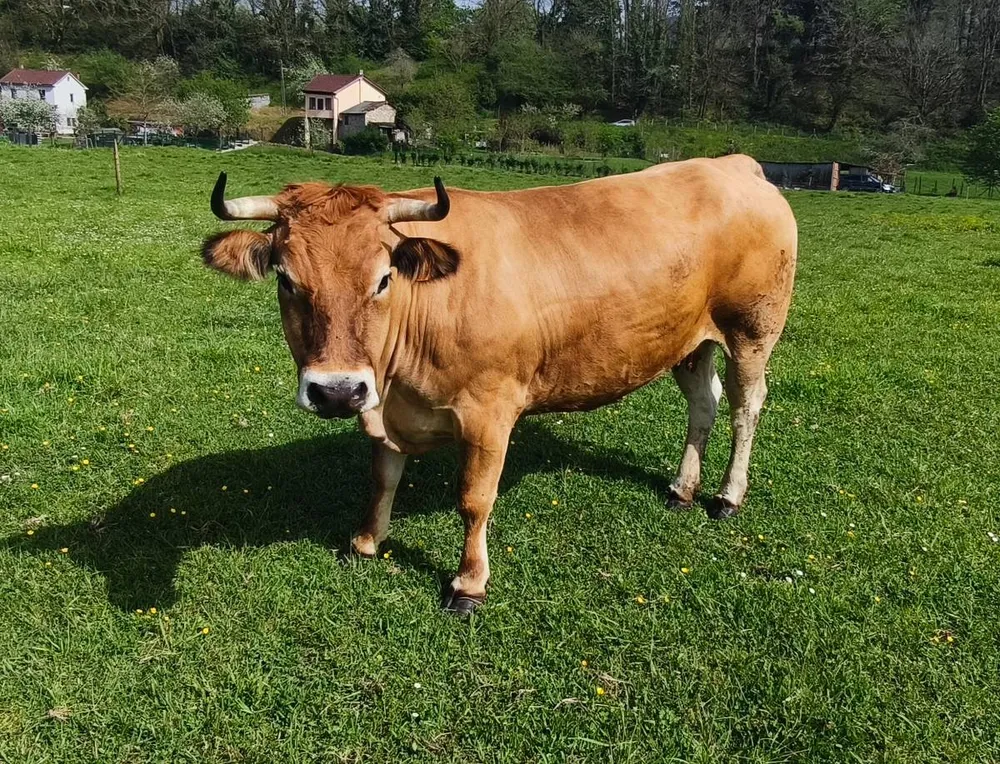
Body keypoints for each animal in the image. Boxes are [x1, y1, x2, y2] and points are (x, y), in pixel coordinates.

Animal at [201, 154, 797, 615]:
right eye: (286, 279)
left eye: (383, 278)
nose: (337, 391)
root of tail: (732, 164)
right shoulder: (385, 410)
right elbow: (383, 478)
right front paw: (366, 541)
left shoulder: (490, 411)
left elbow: (474, 499)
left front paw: (468, 584)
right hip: (688, 339)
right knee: (703, 403)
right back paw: (682, 488)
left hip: (753, 328)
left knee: (746, 406)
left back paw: (727, 496)